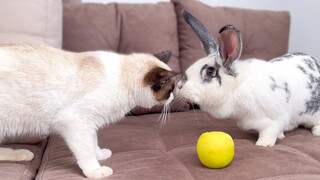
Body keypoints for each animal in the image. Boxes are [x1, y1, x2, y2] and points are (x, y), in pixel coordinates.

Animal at [0, 44, 175, 179]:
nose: (173, 98)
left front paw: (100, 155)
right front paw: (95, 171)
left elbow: (93, 142)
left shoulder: (89, 123)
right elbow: (86, 151)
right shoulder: (76, 122)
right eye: (170, 90)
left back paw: (22, 154)